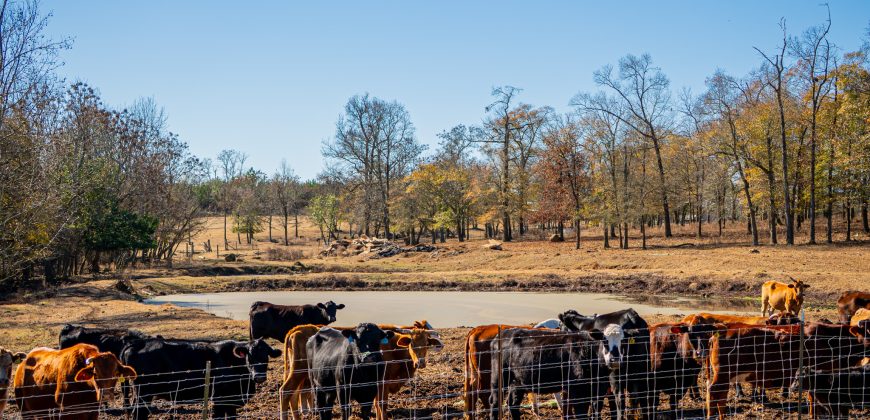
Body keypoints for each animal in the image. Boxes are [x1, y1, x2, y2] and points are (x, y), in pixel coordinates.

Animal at [121, 336, 281, 419]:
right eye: (250, 356)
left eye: (266, 356)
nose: (259, 377)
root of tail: (137, 343)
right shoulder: (219, 398)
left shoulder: (231, 400)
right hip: (144, 392)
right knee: (139, 413)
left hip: (139, 392)